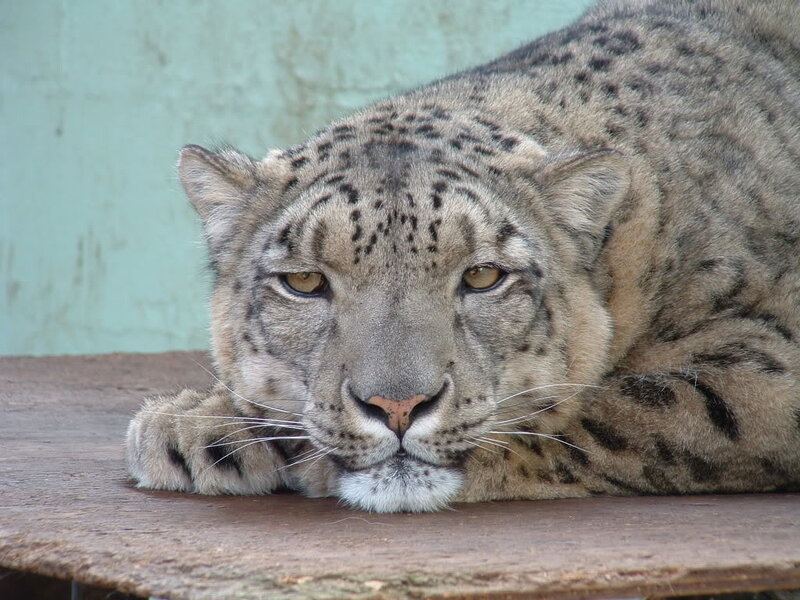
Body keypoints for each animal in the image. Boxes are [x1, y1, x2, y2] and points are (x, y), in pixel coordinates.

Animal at [127, 0, 800, 512]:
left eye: (482, 275)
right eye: (305, 282)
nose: (397, 407)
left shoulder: (764, 365)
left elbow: (614, 410)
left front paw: (207, 427)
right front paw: (195, 424)